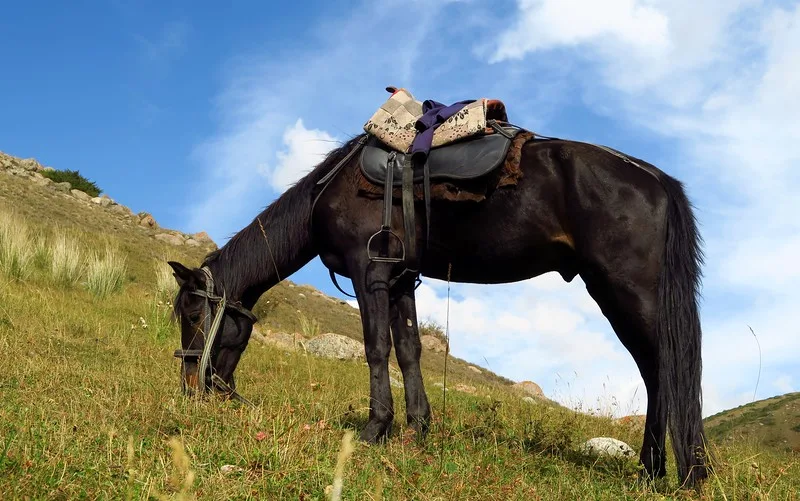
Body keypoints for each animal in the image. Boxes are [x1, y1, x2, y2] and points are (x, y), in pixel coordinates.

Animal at [167, 123, 711, 488]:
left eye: (194, 314)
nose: (193, 386)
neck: (330, 192)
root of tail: (655, 178)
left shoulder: (369, 275)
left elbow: (376, 349)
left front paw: (375, 429)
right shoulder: (401, 280)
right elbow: (409, 351)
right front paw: (416, 429)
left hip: (626, 291)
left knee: (663, 370)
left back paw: (682, 473)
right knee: (659, 374)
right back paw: (655, 471)